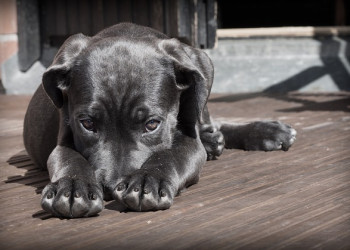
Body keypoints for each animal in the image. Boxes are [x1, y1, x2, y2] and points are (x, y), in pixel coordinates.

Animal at [22, 23, 296, 219]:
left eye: (152, 124)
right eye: (87, 124)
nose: (110, 188)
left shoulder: (188, 140)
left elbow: (171, 155)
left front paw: (147, 180)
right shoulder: (64, 137)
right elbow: (69, 158)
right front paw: (71, 187)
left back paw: (265, 131)